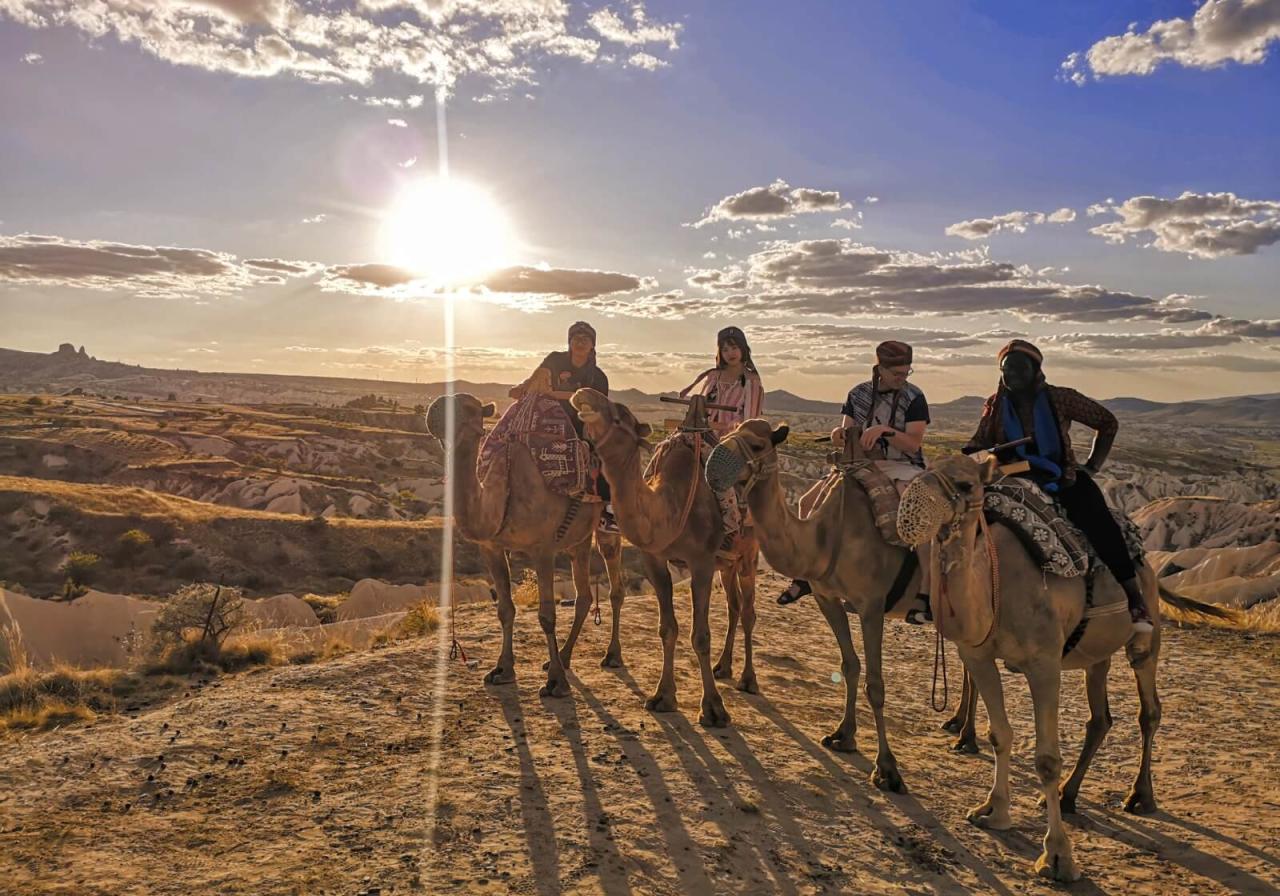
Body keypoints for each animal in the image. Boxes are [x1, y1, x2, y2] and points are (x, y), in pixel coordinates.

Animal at [424, 394, 624, 701]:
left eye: (469, 407)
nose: (434, 409)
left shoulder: (543, 549)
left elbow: (547, 615)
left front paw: (556, 684)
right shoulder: (492, 548)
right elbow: (505, 609)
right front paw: (502, 670)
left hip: (607, 526)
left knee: (614, 585)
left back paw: (611, 655)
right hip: (578, 539)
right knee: (584, 595)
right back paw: (564, 656)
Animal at [570, 389, 757, 727]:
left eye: (621, 414)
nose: (584, 394)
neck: (672, 502)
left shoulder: (701, 562)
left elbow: (701, 635)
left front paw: (713, 708)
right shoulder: (655, 560)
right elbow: (667, 628)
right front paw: (663, 697)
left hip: (749, 553)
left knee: (748, 611)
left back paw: (748, 679)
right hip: (727, 563)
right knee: (734, 606)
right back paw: (724, 667)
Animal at [711, 419, 921, 788]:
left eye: (757, 445)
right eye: (727, 433)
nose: (714, 465)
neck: (827, 535)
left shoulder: (871, 604)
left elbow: (876, 683)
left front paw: (887, 769)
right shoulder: (828, 597)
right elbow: (850, 665)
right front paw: (844, 736)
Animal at [896, 455, 1233, 880]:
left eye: (966, 484)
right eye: (926, 467)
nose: (910, 510)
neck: (996, 584)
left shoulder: (1044, 664)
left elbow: (1046, 759)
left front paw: (1058, 857)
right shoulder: (979, 656)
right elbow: (1000, 735)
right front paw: (993, 811)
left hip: (1146, 635)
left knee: (1149, 709)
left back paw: (1139, 796)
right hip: (1095, 655)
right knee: (1100, 718)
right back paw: (1068, 795)